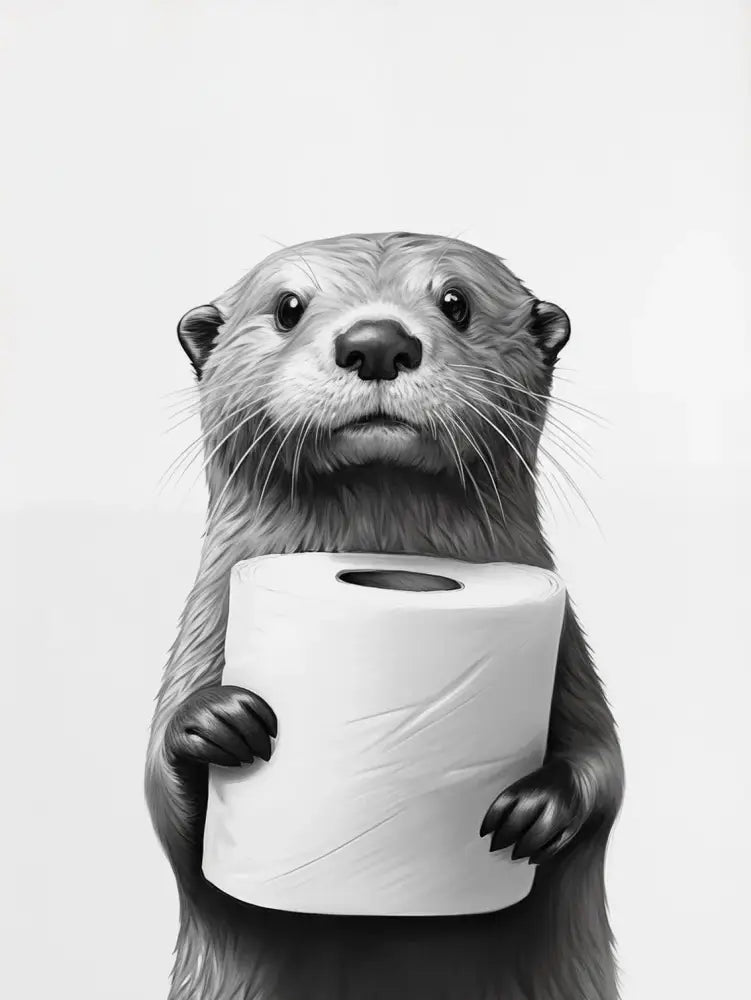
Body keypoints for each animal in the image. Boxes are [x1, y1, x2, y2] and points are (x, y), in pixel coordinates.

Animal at [145, 232, 624, 1000]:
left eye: (456, 301)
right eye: (288, 306)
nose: (376, 341)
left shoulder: (569, 654)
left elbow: (605, 767)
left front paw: (538, 808)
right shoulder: (202, 630)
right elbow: (165, 808)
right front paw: (213, 722)